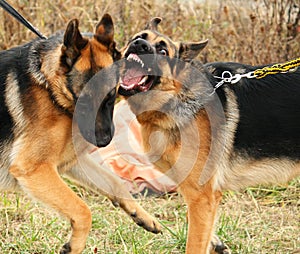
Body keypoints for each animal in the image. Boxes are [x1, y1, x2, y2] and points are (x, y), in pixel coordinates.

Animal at [0, 14, 162, 254]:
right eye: (83, 101)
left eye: (110, 97)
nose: (103, 141)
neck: (51, 88)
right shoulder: (34, 169)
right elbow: (83, 210)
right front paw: (74, 246)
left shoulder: (69, 162)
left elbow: (114, 181)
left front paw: (143, 216)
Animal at [118, 17, 300, 252]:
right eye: (138, 37)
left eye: (163, 50)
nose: (139, 45)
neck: (179, 96)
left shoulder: (202, 197)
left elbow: (194, 244)